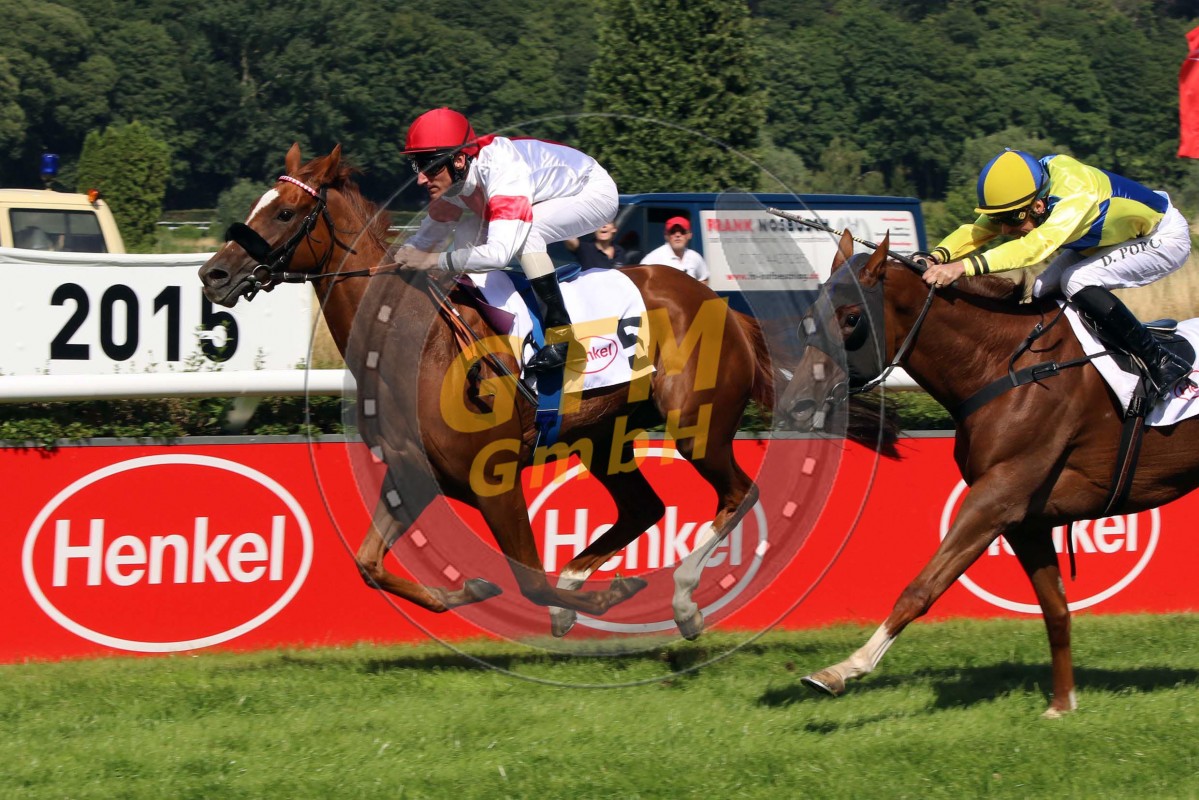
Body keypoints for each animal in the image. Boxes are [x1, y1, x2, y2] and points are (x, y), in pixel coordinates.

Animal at [198, 143, 796, 639]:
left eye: (284, 212)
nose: (213, 275)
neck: (415, 343)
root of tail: (723, 306)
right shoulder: (413, 473)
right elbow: (368, 564)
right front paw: (477, 588)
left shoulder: (495, 482)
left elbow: (530, 580)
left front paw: (605, 596)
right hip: (603, 437)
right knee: (643, 507)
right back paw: (584, 584)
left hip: (696, 424)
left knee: (739, 494)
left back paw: (683, 600)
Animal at [781, 229, 1199, 717]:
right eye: (809, 319)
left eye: (851, 319)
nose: (797, 405)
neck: (1005, 369)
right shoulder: (1025, 519)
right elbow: (1056, 609)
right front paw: (1062, 703)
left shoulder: (995, 498)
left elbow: (921, 587)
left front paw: (842, 669)